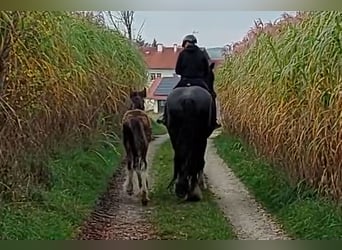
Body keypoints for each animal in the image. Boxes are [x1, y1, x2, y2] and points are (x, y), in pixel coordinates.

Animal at [166, 62, 216, 201]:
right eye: (212, 77)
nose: (214, 93)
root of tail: (187, 98)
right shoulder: (204, 138)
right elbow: (200, 159)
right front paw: (201, 182)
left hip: (174, 134)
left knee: (180, 155)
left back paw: (181, 187)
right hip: (200, 136)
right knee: (196, 158)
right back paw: (193, 190)